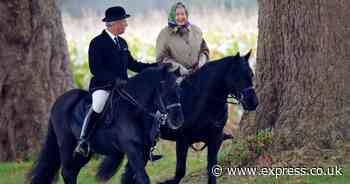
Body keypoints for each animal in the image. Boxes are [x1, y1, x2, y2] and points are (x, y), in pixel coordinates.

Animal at [27, 64, 185, 184]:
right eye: (164, 89)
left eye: (179, 89)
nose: (178, 120)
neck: (134, 111)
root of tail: (59, 101)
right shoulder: (132, 149)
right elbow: (142, 178)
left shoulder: (144, 151)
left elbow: (129, 179)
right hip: (66, 144)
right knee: (67, 172)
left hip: (86, 153)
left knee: (73, 171)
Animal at [97, 51, 258, 184]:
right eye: (237, 76)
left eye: (251, 74)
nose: (253, 102)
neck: (202, 101)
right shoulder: (183, 140)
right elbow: (179, 173)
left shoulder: (215, 139)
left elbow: (212, 170)